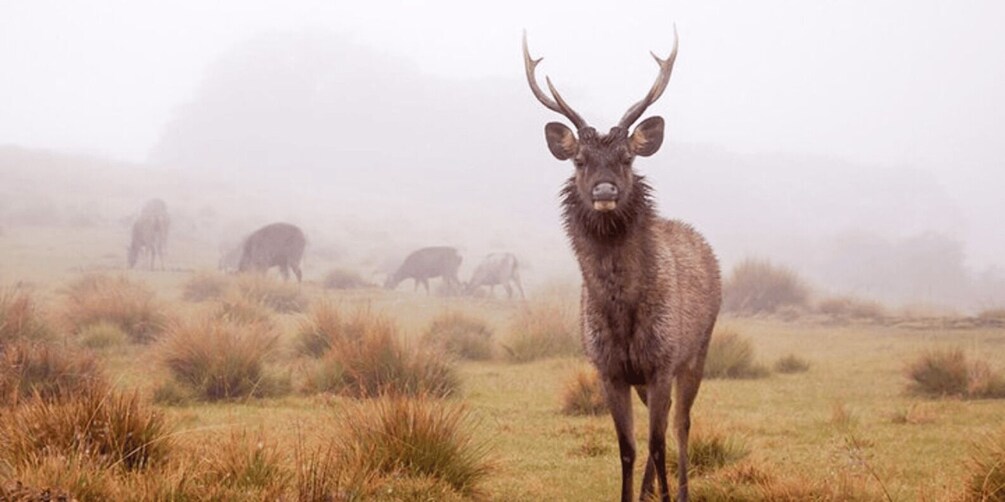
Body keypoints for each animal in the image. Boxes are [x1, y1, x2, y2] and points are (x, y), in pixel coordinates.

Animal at [522, 28, 719, 501]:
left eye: (628, 158)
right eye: (580, 160)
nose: (605, 190)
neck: (622, 315)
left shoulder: (663, 359)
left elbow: (659, 442)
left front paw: (666, 495)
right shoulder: (609, 369)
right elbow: (628, 448)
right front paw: (634, 494)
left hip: (698, 350)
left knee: (681, 424)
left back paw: (680, 491)